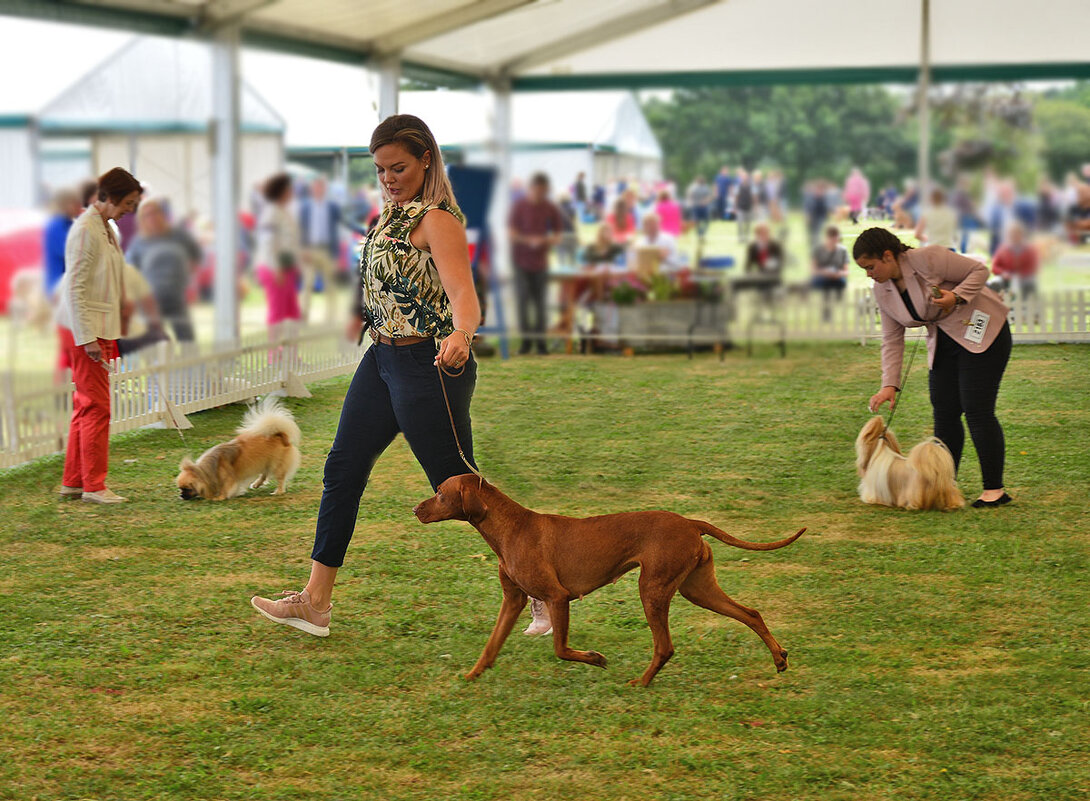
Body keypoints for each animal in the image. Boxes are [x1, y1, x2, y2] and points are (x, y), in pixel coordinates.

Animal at [412, 475, 806, 688]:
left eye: (441, 493)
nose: (414, 509)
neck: (510, 528)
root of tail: (690, 523)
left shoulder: (557, 597)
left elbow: (560, 648)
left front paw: (595, 658)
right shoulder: (513, 600)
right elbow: (491, 646)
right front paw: (472, 676)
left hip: (653, 589)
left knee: (665, 646)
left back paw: (642, 683)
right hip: (697, 588)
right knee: (751, 613)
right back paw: (779, 658)